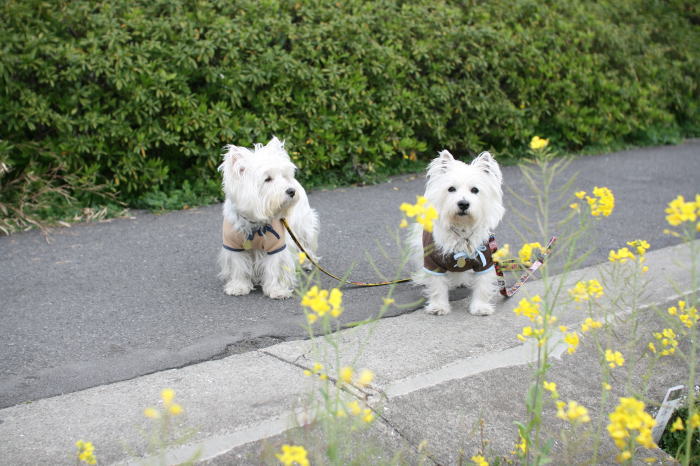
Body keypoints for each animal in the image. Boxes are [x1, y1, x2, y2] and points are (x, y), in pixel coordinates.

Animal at [219, 137, 320, 298]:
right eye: (267, 179)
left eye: (283, 176)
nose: (291, 191)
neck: (254, 222)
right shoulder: (233, 245)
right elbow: (238, 266)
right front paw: (238, 287)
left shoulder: (277, 244)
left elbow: (275, 266)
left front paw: (277, 290)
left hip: (304, 227)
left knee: (305, 245)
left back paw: (307, 263)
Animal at [410, 149, 504, 316]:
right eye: (451, 189)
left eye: (475, 190)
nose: (463, 204)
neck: (462, 229)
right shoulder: (433, 261)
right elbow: (437, 285)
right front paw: (439, 306)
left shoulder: (485, 260)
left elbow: (483, 285)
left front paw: (480, 307)